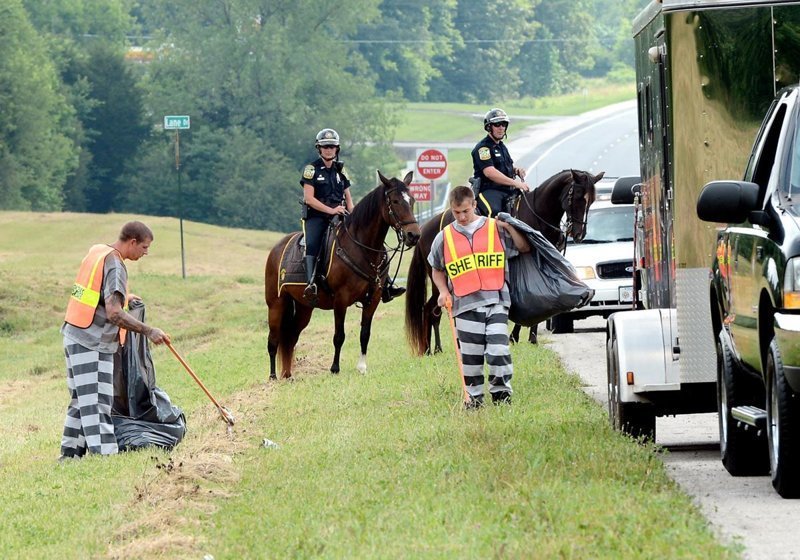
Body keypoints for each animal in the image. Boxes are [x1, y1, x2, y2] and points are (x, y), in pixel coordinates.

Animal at [266, 170, 422, 380]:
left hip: (304, 307)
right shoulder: (341, 300)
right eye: (395, 201)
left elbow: (365, 334)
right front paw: (334, 368)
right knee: (273, 340)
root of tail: (276, 249)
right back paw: (273, 377)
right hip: (276, 304)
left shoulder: (373, 299)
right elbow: (339, 336)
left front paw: (362, 367)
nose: (414, 235)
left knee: (290, 337)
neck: (362, 248)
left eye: (411, 200)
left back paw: (288, 375)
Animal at [404, 168, 604, 356]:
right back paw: (433, 349)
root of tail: (425, 228)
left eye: (592, 200)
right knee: (431, 310)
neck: (537, 214)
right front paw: (518, 336)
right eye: (577, 196)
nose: (578, 234)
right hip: (439, 280)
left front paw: (527, 337)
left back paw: (439, 347)